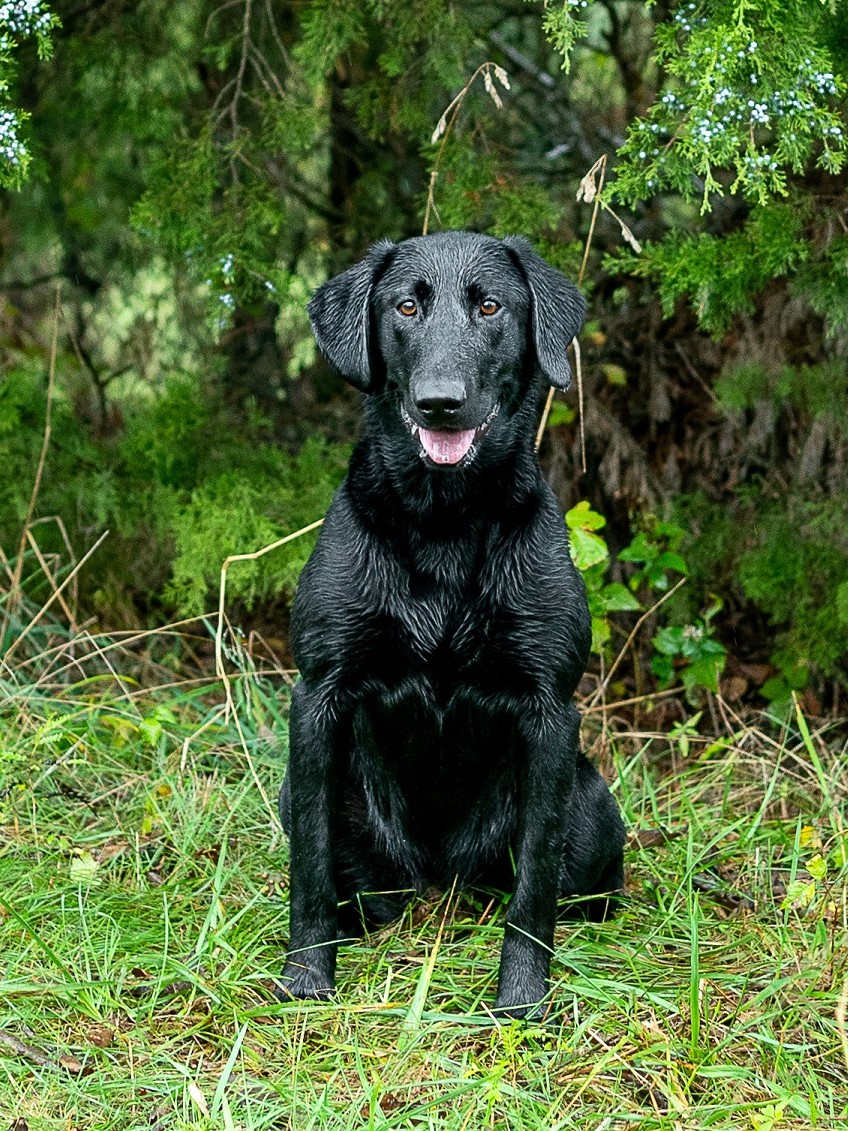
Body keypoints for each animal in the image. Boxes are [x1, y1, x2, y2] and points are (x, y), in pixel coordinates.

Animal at [279, 229, 624, 1017]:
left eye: (490, 305)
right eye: (406, 306)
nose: (441, 402)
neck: (444, 519)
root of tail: (438, 878)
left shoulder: (550, 711)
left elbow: (534, 887)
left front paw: (522, 997)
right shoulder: (318, 697)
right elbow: (310, 863)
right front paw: (308, 974)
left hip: (591, 800)